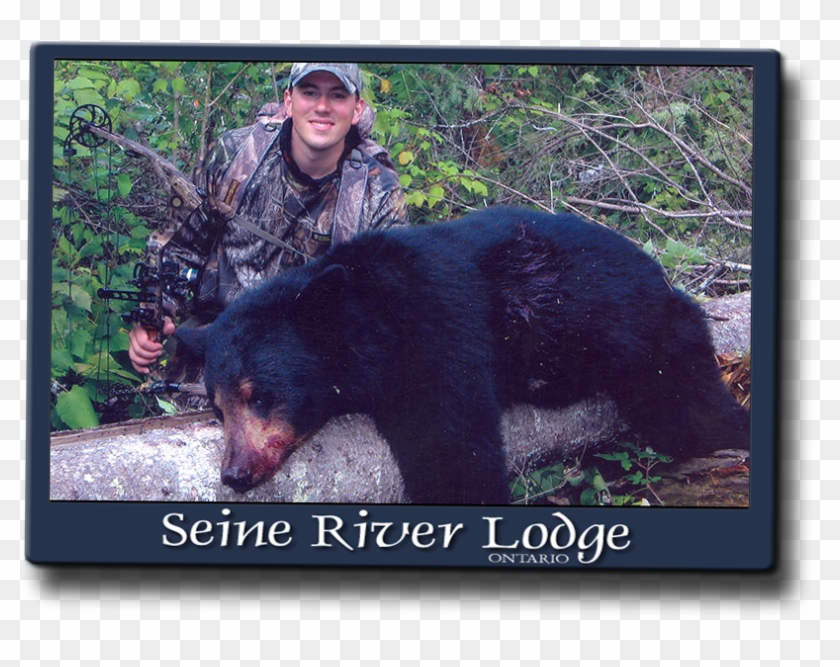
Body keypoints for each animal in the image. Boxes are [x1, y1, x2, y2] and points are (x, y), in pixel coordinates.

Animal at [176, 206, 750, 505]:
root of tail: (658, 271)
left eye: (260, 396)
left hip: (647, 338)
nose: (234, 474)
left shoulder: (438, 334)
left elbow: (453, 449)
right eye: (217, 409)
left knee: (693, 410)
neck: (376, 317)